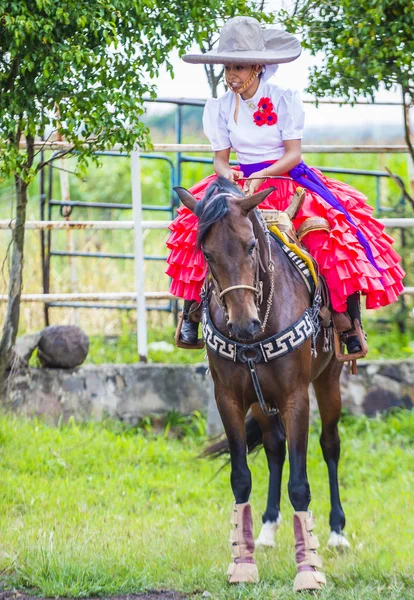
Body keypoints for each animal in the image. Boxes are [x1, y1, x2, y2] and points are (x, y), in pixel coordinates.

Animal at [173, 177, 348, 592]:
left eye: (251, 245)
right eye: (206, 254)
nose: (243, 324)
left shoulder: (295, 398)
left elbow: (300, 483)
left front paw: (309, 570)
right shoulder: (230, 400)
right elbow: (241, 477)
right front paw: (242, 563)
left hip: (329, 380)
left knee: (330, 445)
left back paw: (337, 533)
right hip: (260, 400)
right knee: (274, 447)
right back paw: (268, 528)